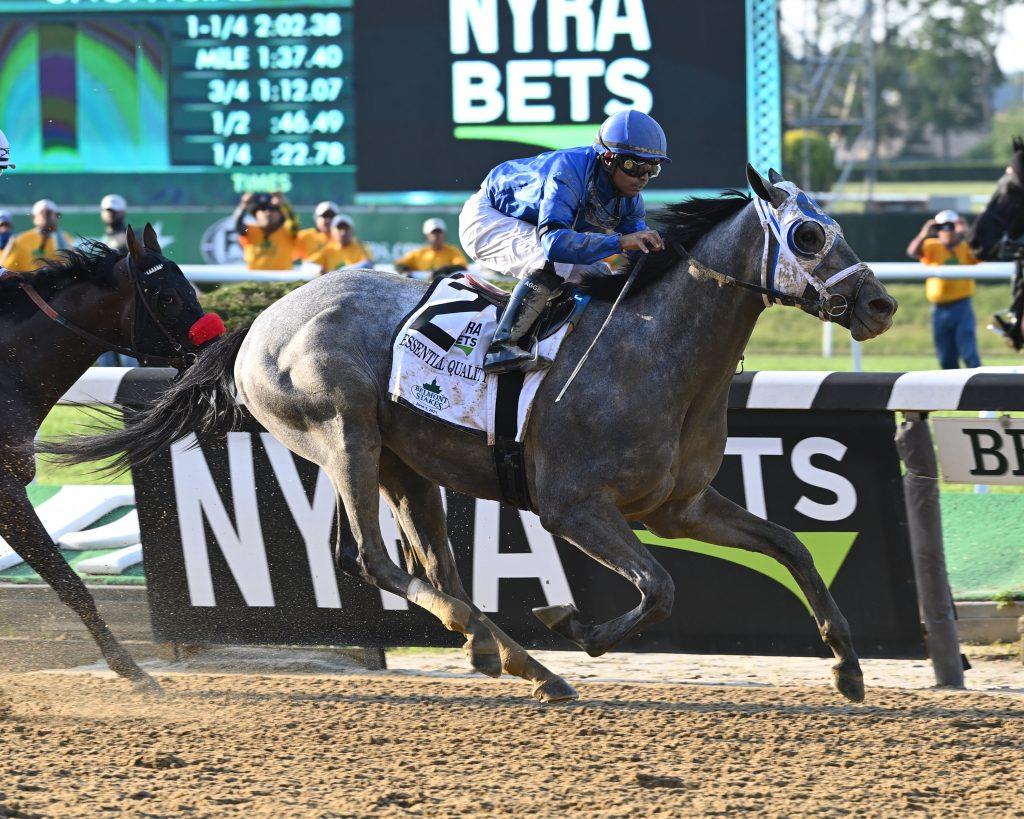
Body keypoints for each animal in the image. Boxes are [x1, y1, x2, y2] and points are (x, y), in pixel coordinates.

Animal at [4, 225, 218, 692]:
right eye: (167, 298)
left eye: (190, 286)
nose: (217, 355)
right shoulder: (5, 494)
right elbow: (68, 581)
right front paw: (133, 672)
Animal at [48, 165, 897, 704]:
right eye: (808, 234)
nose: (881, 304)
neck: (653, 350)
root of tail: (258, 323)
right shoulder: (574, 507)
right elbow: (659, 587)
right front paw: (574, 624)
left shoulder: (678, 506)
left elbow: (790, 544)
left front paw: (848, 666)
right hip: (344, 434)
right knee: (370, 557)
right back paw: (519, 654)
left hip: (405, 463)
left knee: (430, 564)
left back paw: (513, 659)